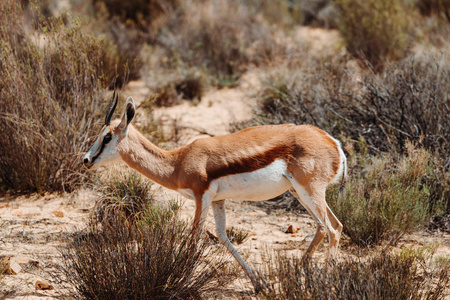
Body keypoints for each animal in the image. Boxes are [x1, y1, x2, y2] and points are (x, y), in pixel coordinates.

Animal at [82, 91, 346, 290]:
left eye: (107, 136)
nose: (85, 159)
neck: (178, 162)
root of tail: (333, 143)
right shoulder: (219, 200)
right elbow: (222, 236)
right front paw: (258, 283)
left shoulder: (202, 197)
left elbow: (194, 236)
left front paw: (181, 282)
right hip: (300, 193)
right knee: (331, 226)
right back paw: (297, 275)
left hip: (309, 191)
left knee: (330, 229)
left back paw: (323, 282)